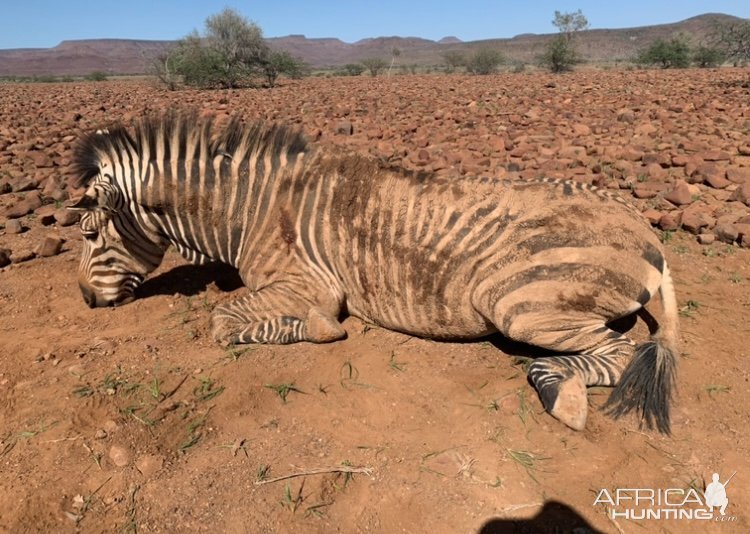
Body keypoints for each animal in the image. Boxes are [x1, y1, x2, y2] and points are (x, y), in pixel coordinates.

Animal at [70, 113, 680, 436]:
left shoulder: (308, 284)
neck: (251, 209)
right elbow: (230, 317)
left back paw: (561, 393)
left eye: (90, 235)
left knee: (618, 353)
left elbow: (225, 321)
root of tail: (645, 228)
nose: (85, 301)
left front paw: (319, 329)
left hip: (519, 303)